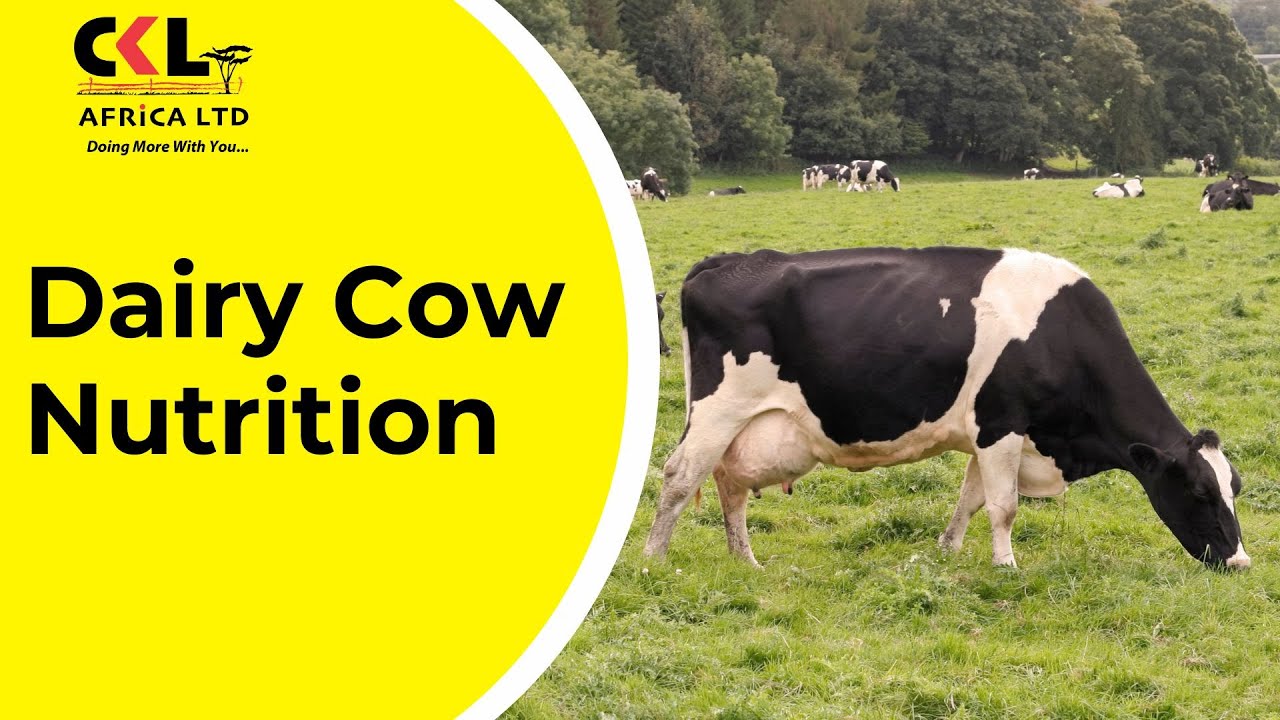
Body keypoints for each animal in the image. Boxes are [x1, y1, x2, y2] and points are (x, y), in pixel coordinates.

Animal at [643, 247, 1250, 570]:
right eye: (1200, 492)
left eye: (1234, 488)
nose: (1240, 561)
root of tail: (724, 263)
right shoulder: (1003, 424)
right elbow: (1004, 506)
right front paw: (1006, 566)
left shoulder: (990, 434)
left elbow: (971, 498)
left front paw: (949, 549)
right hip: (718, 410)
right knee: (679, 476)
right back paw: (654, 559)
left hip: (742, 427)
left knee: (729, 484)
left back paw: (744, 561)